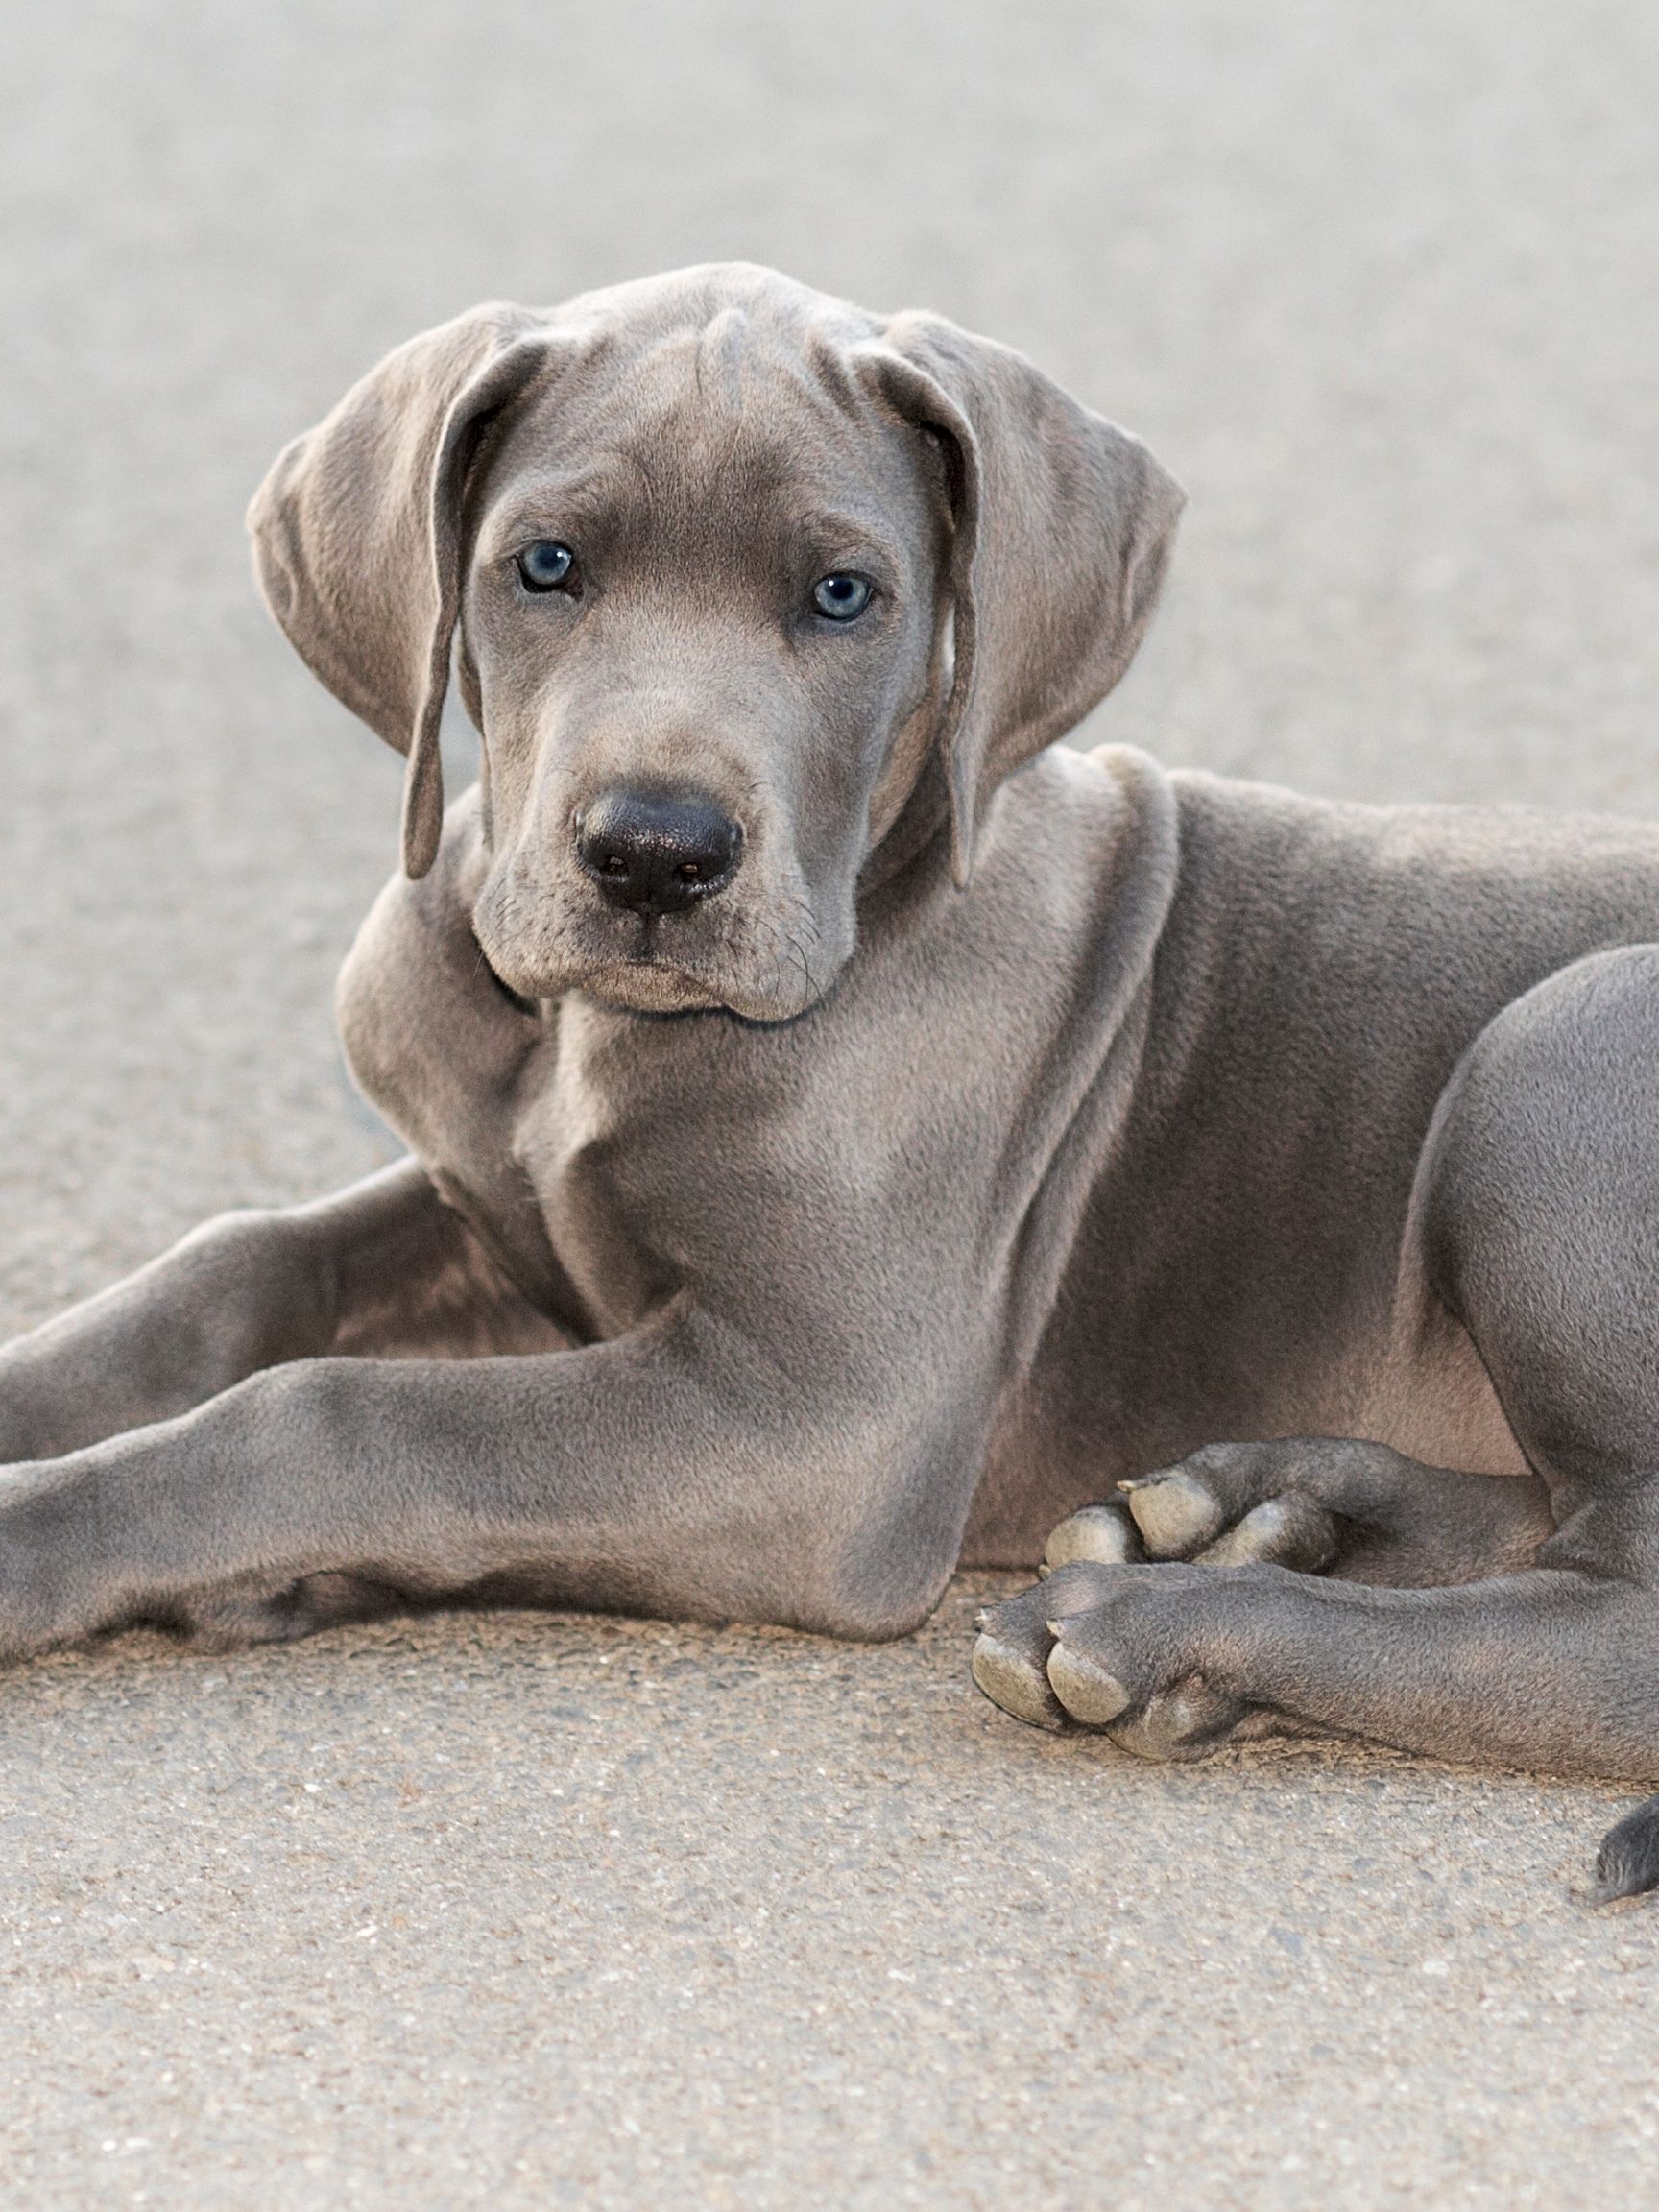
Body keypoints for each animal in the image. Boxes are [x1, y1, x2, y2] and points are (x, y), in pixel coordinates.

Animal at [3, 267, 1659, 1902]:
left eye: (844, 595)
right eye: (546, 565)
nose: (654, 855)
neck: (589, 1039)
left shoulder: (823, 1423)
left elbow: (336, 1413)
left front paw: (36, 1536)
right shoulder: (509, 1223)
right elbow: (234, 1266)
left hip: (1557, 1044)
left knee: (1611, 1621)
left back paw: (1169, 1629)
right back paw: (1251, 1513)